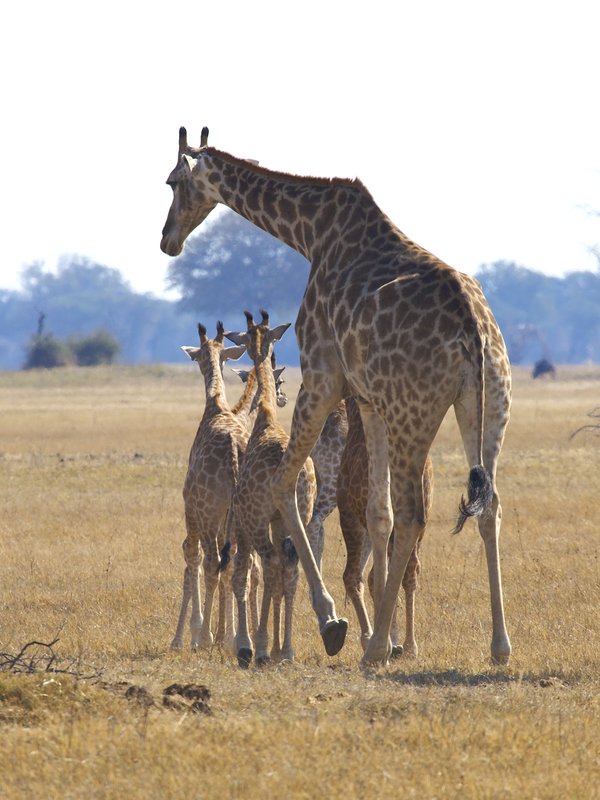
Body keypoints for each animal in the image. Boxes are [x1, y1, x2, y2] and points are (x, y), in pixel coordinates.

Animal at [225, 310, 317, 667]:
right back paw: (286, 650)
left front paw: (249, 645)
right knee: (290, 568)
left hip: (257, 519)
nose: (283, 397)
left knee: (270, 564)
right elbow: (279, 580)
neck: (265, 420)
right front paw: (278, 647)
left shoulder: (248, 518)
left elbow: (246, 574)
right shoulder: (280, 521)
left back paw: (261, 648)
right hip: (300, 514)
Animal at [337, 397, 433, 657]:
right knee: (393, 573)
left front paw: (390, 641)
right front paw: (397, 642)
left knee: (363, 575)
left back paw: (388, 641)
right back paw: (396, 642)